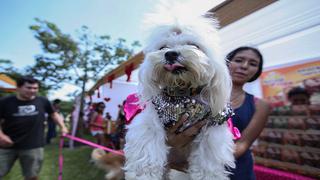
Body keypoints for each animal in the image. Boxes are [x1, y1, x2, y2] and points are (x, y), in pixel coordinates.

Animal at [124, 3, 235, 180]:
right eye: (163, 47)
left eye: (194, 45)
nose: (170, 54)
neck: (183, 92)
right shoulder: (151, 119)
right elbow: (147, 151)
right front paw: (144, 174)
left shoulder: (213, 128)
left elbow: (208, 161)